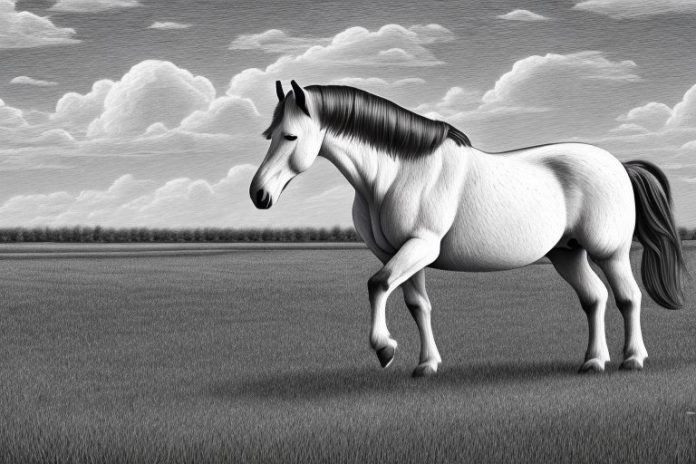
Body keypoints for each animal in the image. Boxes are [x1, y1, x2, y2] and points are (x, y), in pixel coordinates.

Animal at [250, 80, 686, 377]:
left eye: (291, 135)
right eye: (268, 135)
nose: (258, 194)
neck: (398, 173)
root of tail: (619, 164)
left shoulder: (421, 246)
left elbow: (377, 284)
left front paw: (385, 349)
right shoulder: (401, 253)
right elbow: (416, 304)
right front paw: (426, 365)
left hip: (609, 252)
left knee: (628, 297)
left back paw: (633, 359)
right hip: (567, 253)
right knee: (594, 298)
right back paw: (593, 361)